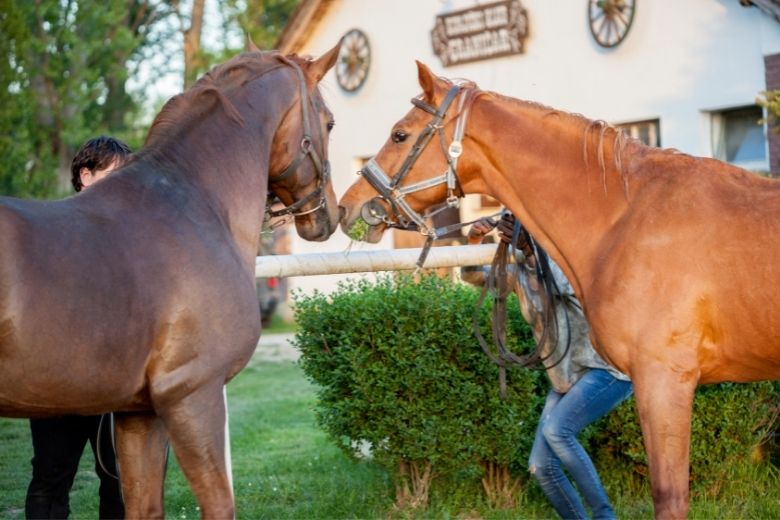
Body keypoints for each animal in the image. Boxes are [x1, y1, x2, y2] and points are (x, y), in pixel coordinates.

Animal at [0, 42, 342, 516]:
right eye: (329, 122)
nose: (328, 216)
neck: (195, 205)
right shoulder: (193, 395)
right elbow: (218, 505)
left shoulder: (137, 415)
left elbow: (144, 505)